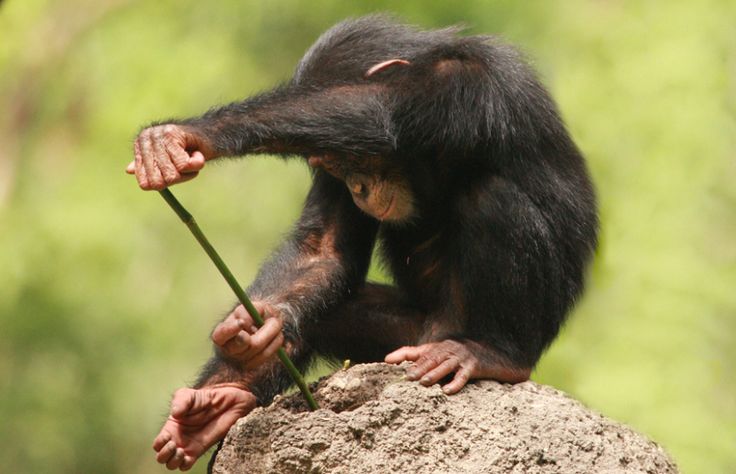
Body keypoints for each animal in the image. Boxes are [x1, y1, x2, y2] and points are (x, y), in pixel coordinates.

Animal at [127, 15, 598, 471]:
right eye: (332, 163)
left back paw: (495, 354)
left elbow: (379, 112)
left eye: (353, 156)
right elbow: (323, 249)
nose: (358, 188)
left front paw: (188, 136)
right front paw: (255, 327)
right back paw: (219, 403)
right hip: (408, 340)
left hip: (502, 330)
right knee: (320, 320)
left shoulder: (458, 85)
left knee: (491, 198)